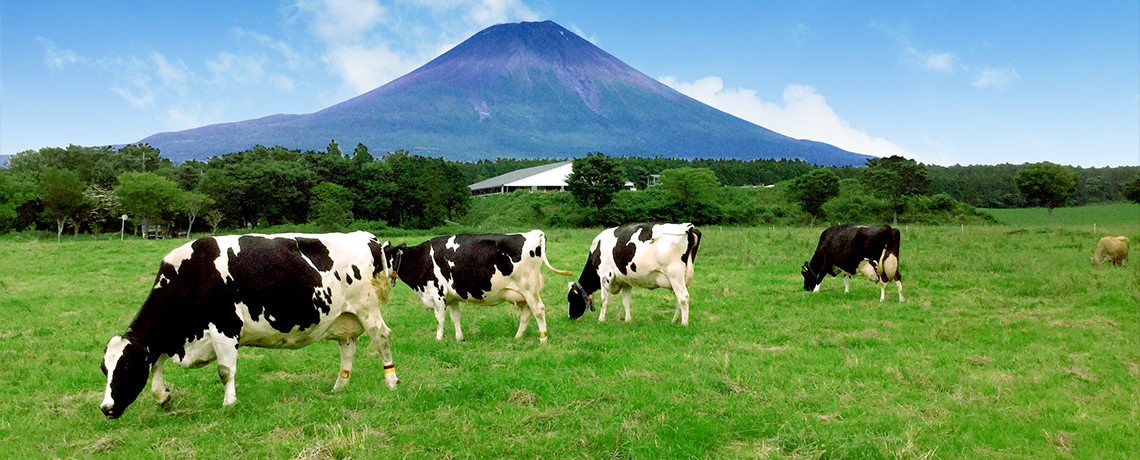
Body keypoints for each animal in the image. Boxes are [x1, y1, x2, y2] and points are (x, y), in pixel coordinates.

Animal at [100, 232, 401, 419]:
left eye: (125, 367)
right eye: (105, 369)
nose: (106, 408)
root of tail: (366, 237)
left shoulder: (224, 326)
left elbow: (225, 371)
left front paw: (229, 404)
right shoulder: (171, 338)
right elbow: (156, 363)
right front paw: (163, 397)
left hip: (367, 308)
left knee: (382, 338)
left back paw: (391, 382)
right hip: (344, 316)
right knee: (348, 346)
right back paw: (339, 387)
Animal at [389, 228, 570, 341]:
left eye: (385, 254)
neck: (422, 258)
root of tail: (534, 233)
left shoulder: (437, 294)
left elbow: (439, 319)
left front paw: (438, 339)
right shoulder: (452, 297)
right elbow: (455, 317)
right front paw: (459, 338)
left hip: (529, 288)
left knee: (538, 310)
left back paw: (543, 339)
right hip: (523, 294)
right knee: (527, 313)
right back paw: (517, 337)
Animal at [565, 224, 697, 325]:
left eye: (572, 298)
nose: (571, 316)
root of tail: (689, 227)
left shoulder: (605, 277)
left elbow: (604, 299)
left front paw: (601, 319)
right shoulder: (626, 281)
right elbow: (626, 301)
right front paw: (628, 320)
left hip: (675, 274)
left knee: (683, 297)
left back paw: (684, 323)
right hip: (680, 279)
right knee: (679, 298)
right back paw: (674, 320)